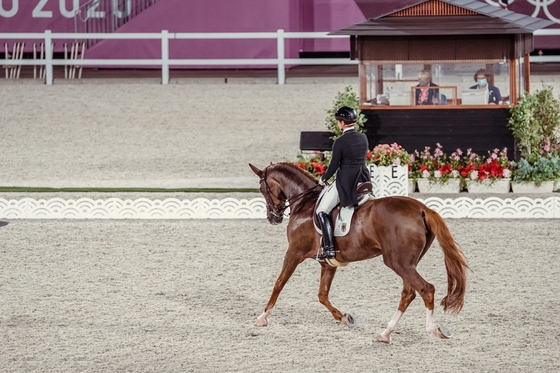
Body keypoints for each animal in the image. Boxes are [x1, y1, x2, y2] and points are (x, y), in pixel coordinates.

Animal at [249, 161, 468, 342]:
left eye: (262, 188)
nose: (273, 218)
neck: (305, 203)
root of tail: (423, 209)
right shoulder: (327, 263)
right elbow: (322, 294)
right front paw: (345, 318)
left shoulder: (294, 252)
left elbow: (279, 284)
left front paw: (262, 317)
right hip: (408, 263)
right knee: (408, 293)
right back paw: (386, 333)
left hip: (398, 262)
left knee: (425, 289)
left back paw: (434, 329)